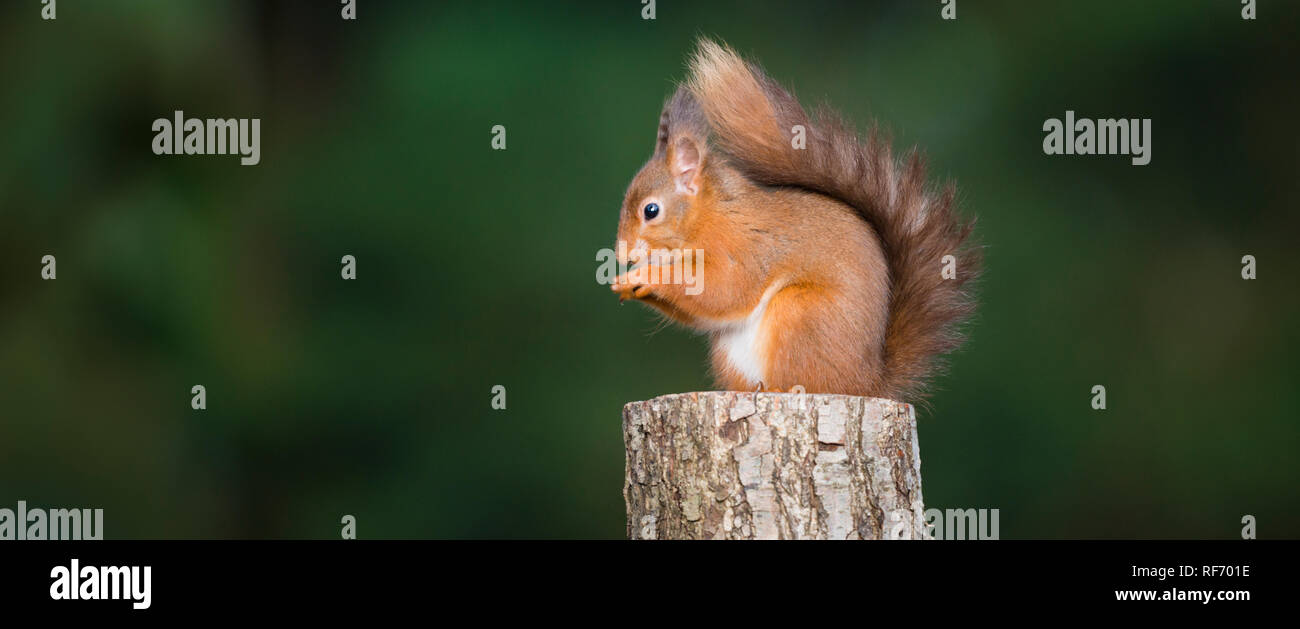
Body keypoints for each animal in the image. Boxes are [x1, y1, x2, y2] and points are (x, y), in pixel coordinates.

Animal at [608, 40, 977, 402]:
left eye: (651, 211)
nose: (622, 256)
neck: (708, 216)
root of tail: (868, 385)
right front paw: (626, 283)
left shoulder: (746, 245)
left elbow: (723, 289)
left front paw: (645, 276)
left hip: (800, 314)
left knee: (806, 380)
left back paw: (780, 389)